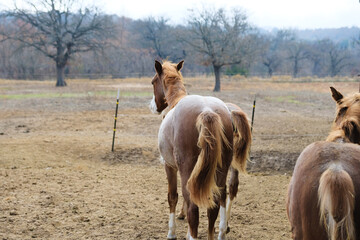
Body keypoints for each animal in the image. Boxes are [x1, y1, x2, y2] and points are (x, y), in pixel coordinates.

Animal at [149, 59, 250, 238]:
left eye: (153, 81)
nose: (153, 106)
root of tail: (207, 111)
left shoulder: (169, 166)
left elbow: (173, 196)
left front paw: (172, 233)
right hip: (222, 168)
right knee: (219, 200)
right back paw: (220, 231)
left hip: (188, 168)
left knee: (193, 208)